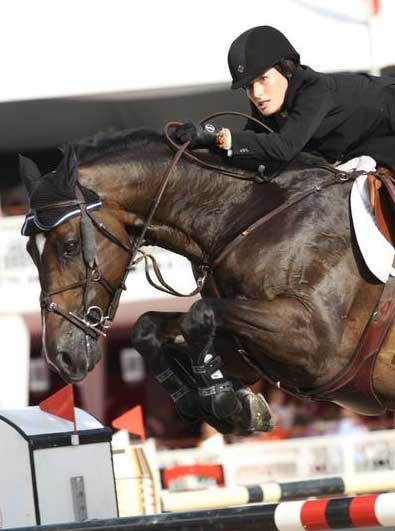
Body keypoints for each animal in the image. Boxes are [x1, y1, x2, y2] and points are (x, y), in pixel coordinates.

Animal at [19, 129, 395, 436]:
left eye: (69, 246)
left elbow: (199, 314)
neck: (247, 216)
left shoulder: (316, 345)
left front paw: (224, 400)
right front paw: (227, 404)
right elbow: (148, 327)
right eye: (29, 252)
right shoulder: (252, 350)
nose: (60, 358)